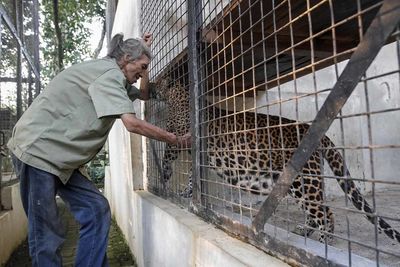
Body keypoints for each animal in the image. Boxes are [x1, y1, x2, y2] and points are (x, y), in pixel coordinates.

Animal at [153, 78, 400, 244]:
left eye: (158, 82)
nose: (152, 85)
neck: (178, 96)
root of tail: (315, 131)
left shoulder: (181, 139)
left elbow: (170, 156)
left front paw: (166, 176)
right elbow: (190, 174)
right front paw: (184, 189)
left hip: (303, 180)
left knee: (325, 212)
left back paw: (325, 243)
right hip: (294, 181)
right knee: (318, 211)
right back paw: (305, 232)